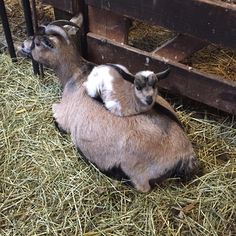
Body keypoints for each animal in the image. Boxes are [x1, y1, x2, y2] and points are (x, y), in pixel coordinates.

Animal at [20, 16, 199, 192]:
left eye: (37, 42)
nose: (22, 45)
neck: (77, 75)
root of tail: (185, 153)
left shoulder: (63, 115)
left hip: (136, 170)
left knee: (141, 186)